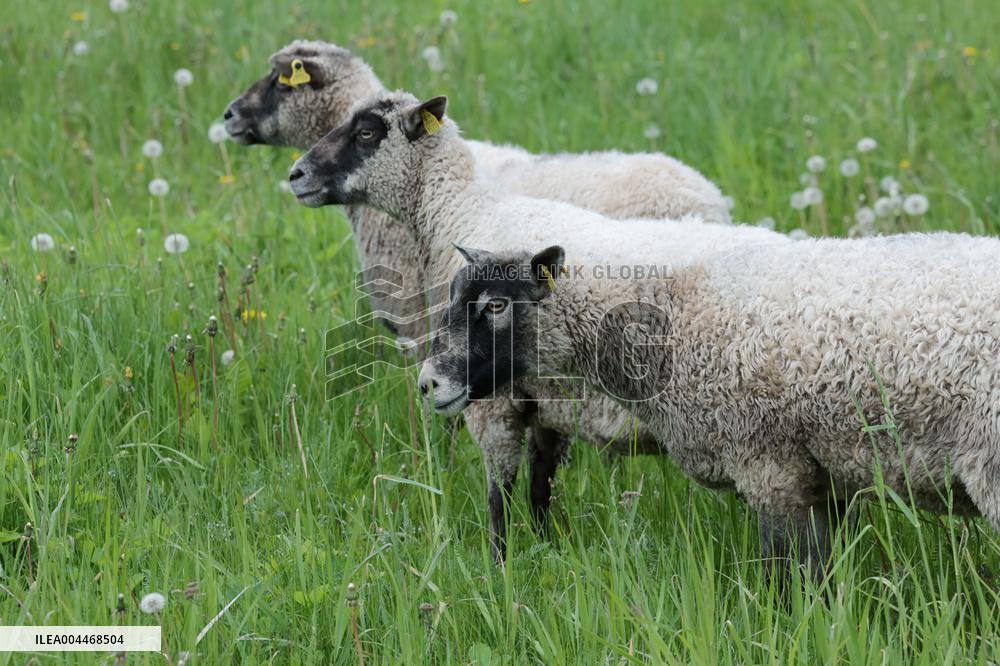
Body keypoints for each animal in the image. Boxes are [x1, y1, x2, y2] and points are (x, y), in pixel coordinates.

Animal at [287, 90, 788, 560]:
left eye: (367, 133)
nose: (295, 175)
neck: (460, 210)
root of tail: (713, 199)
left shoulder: (496, 403)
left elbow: (500, 496)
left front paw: (499, 571)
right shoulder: (549, 404)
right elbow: (540, 486)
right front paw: (548, 549)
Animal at [418, 234, 1000, 577]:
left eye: (497, 305)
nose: (428, 383)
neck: (673, 312)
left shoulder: (768, 462)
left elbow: (787, 572)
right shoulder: (820, 474)